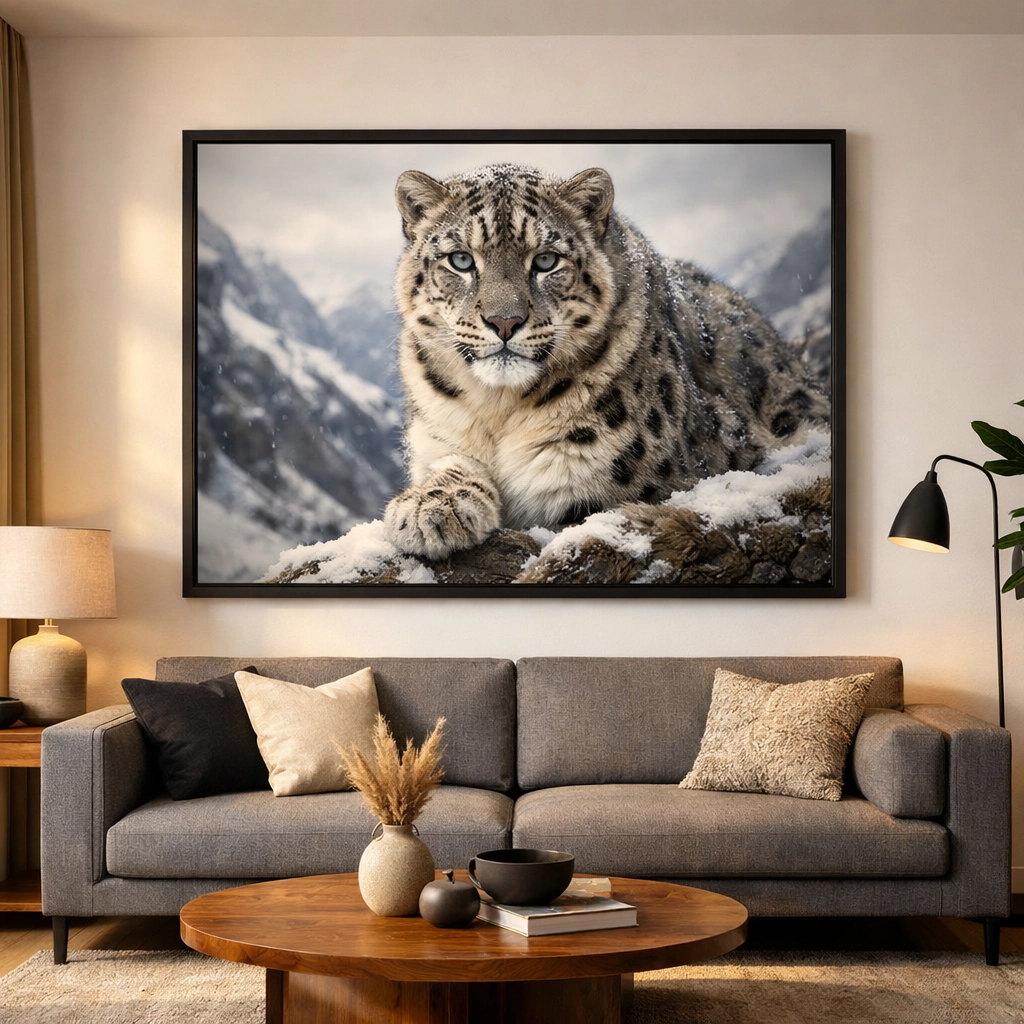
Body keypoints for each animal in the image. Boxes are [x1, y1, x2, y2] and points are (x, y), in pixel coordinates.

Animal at [382, 162, 830, 560]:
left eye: (546, 261)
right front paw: (430, 508)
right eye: (460, 259)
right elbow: (449, 462)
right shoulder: (438, 436)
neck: (498, 409)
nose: (504, 321)